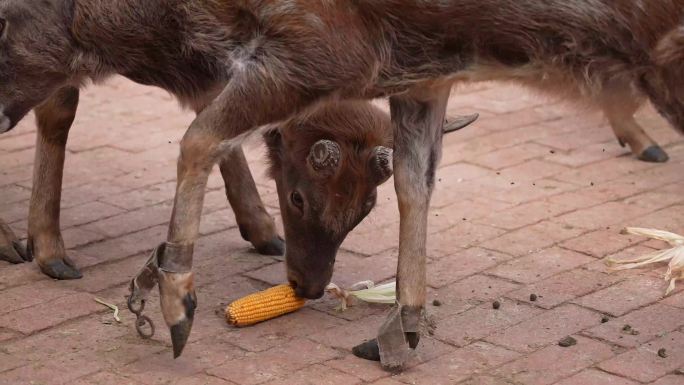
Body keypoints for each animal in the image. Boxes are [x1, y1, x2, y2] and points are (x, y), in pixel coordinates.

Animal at [0, 0, 680, 372]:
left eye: (361, 209)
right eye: (300, 196)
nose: (307, 286)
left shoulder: (375, 65)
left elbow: (413, 182)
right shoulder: (345, 57)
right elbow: (200, 136)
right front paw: (176, 300)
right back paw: (37, 247)